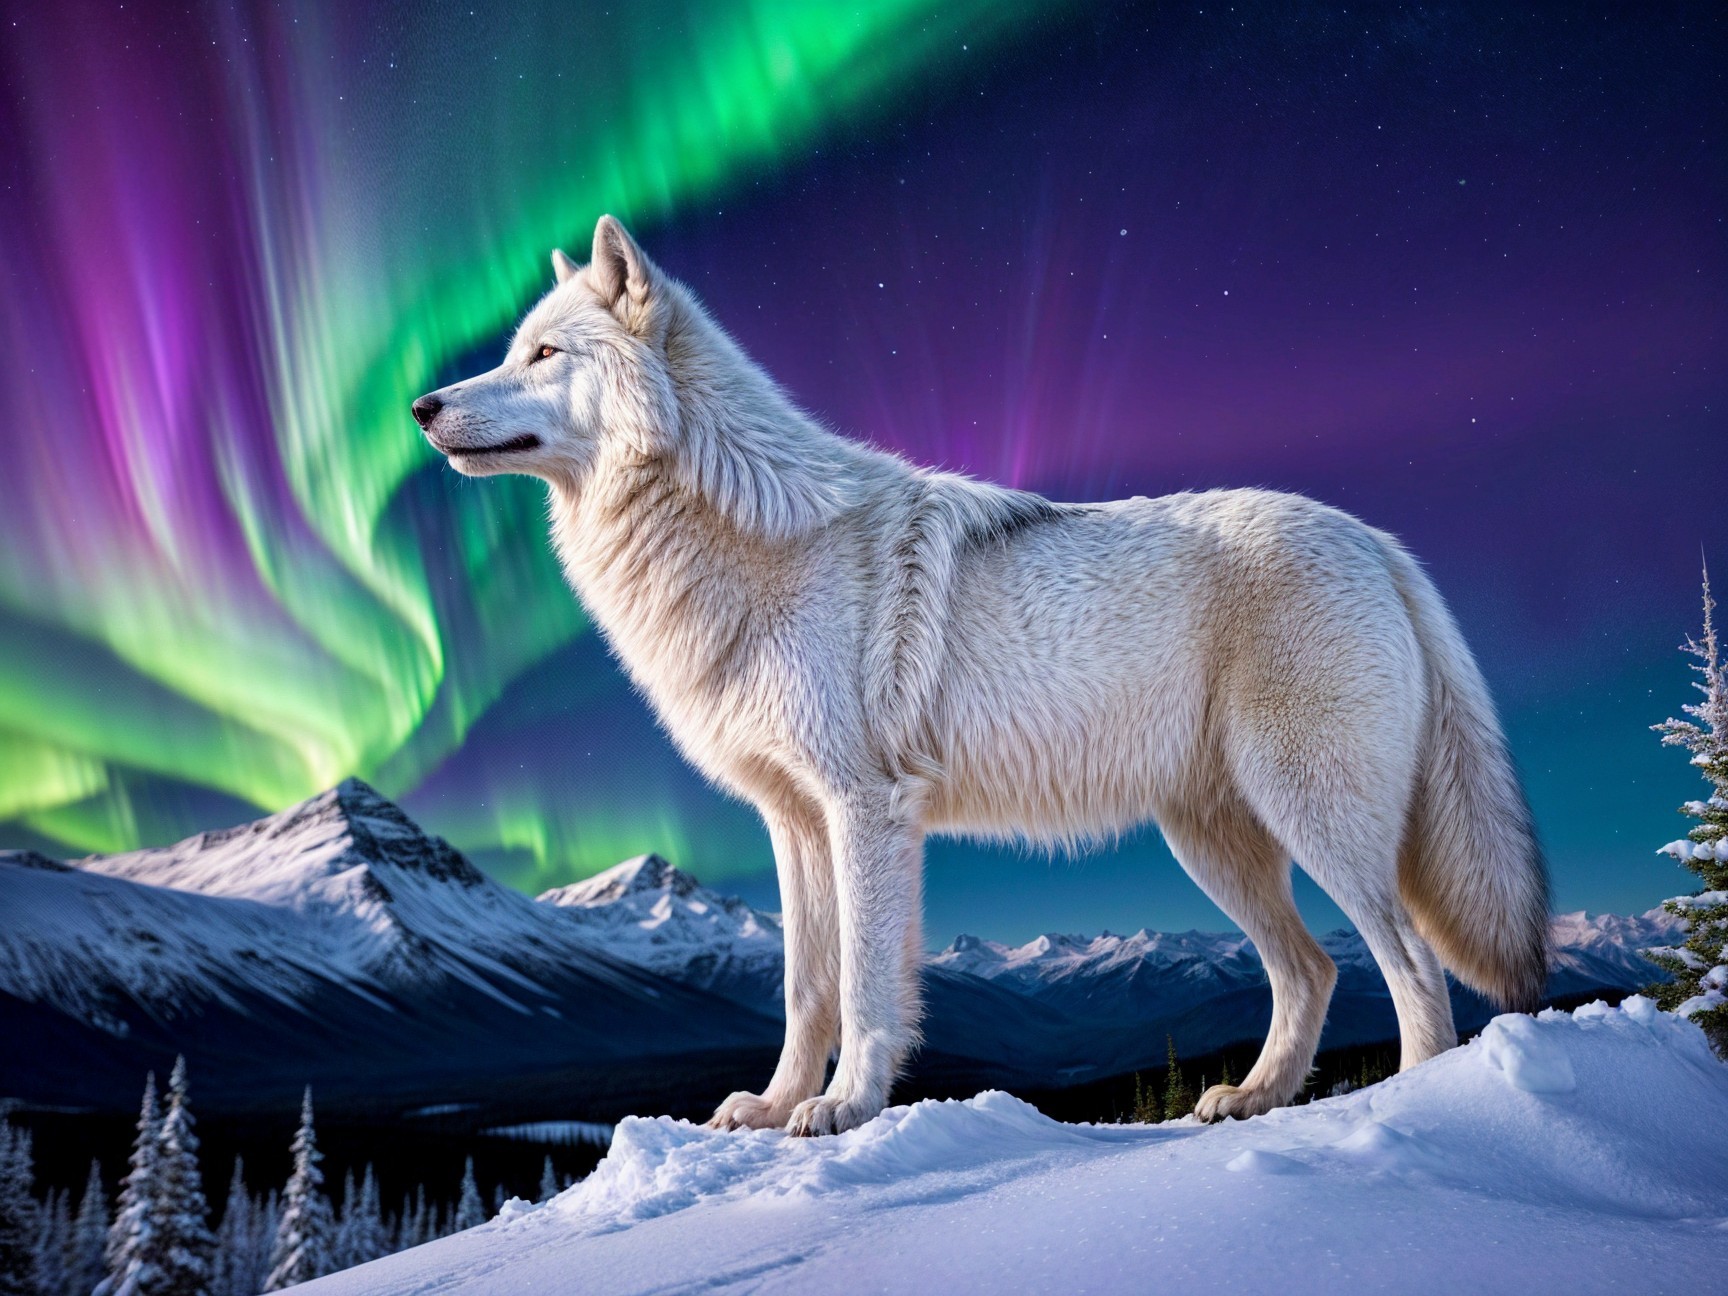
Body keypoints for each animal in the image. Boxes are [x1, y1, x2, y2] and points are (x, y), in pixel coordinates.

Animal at [413, 215, 1549, 1135]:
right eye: (510, 350)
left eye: (542, 353)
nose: (421, 405)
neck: (743, 538)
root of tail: (1381, 542)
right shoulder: (791, 820)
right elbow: (804, 991)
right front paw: (774, 1107)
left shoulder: (866, 809)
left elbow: (867, 987)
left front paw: (844, 1110)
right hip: (1214, 842)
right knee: (1310, 970)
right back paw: (1251, 1098)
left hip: (1311, 817)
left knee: (1411, 966)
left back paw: (1407, 1098)